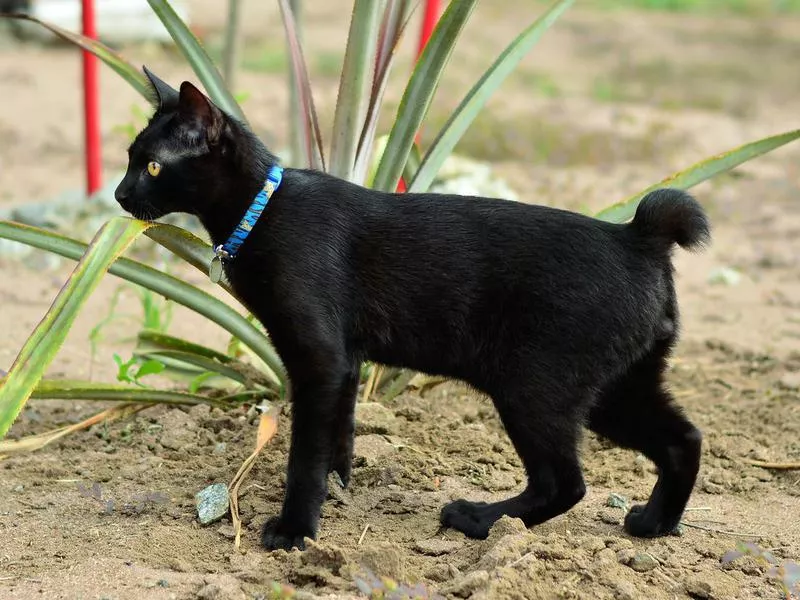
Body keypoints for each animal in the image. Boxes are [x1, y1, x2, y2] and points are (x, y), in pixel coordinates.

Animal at [115, 68, 708, 552]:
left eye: (153, 166)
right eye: (128, 160)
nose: (120, 194)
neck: (263, 209)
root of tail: (637, 236)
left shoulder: (319, 359)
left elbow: (304, 453)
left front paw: (296, 531)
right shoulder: (345, 363)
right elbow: (339, 433)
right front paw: (340, 488)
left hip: (534, 387)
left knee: (564, 482)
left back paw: (477, 519)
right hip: (617, 387)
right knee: (683, 439)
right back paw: (654, 524)